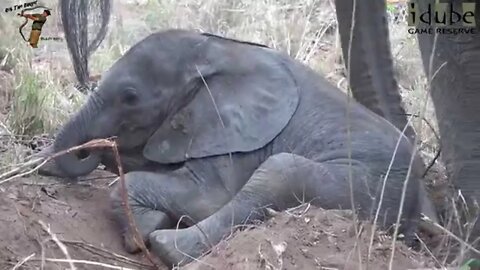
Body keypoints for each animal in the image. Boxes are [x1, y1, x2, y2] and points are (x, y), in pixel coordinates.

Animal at [49, 30, 436, 268]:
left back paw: (165, 245)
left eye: (130, 98)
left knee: (281, 171)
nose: (93, 148)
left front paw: (141, 231)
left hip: (371, 185)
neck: (216, 50)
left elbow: (206, 198)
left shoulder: (233, 137)